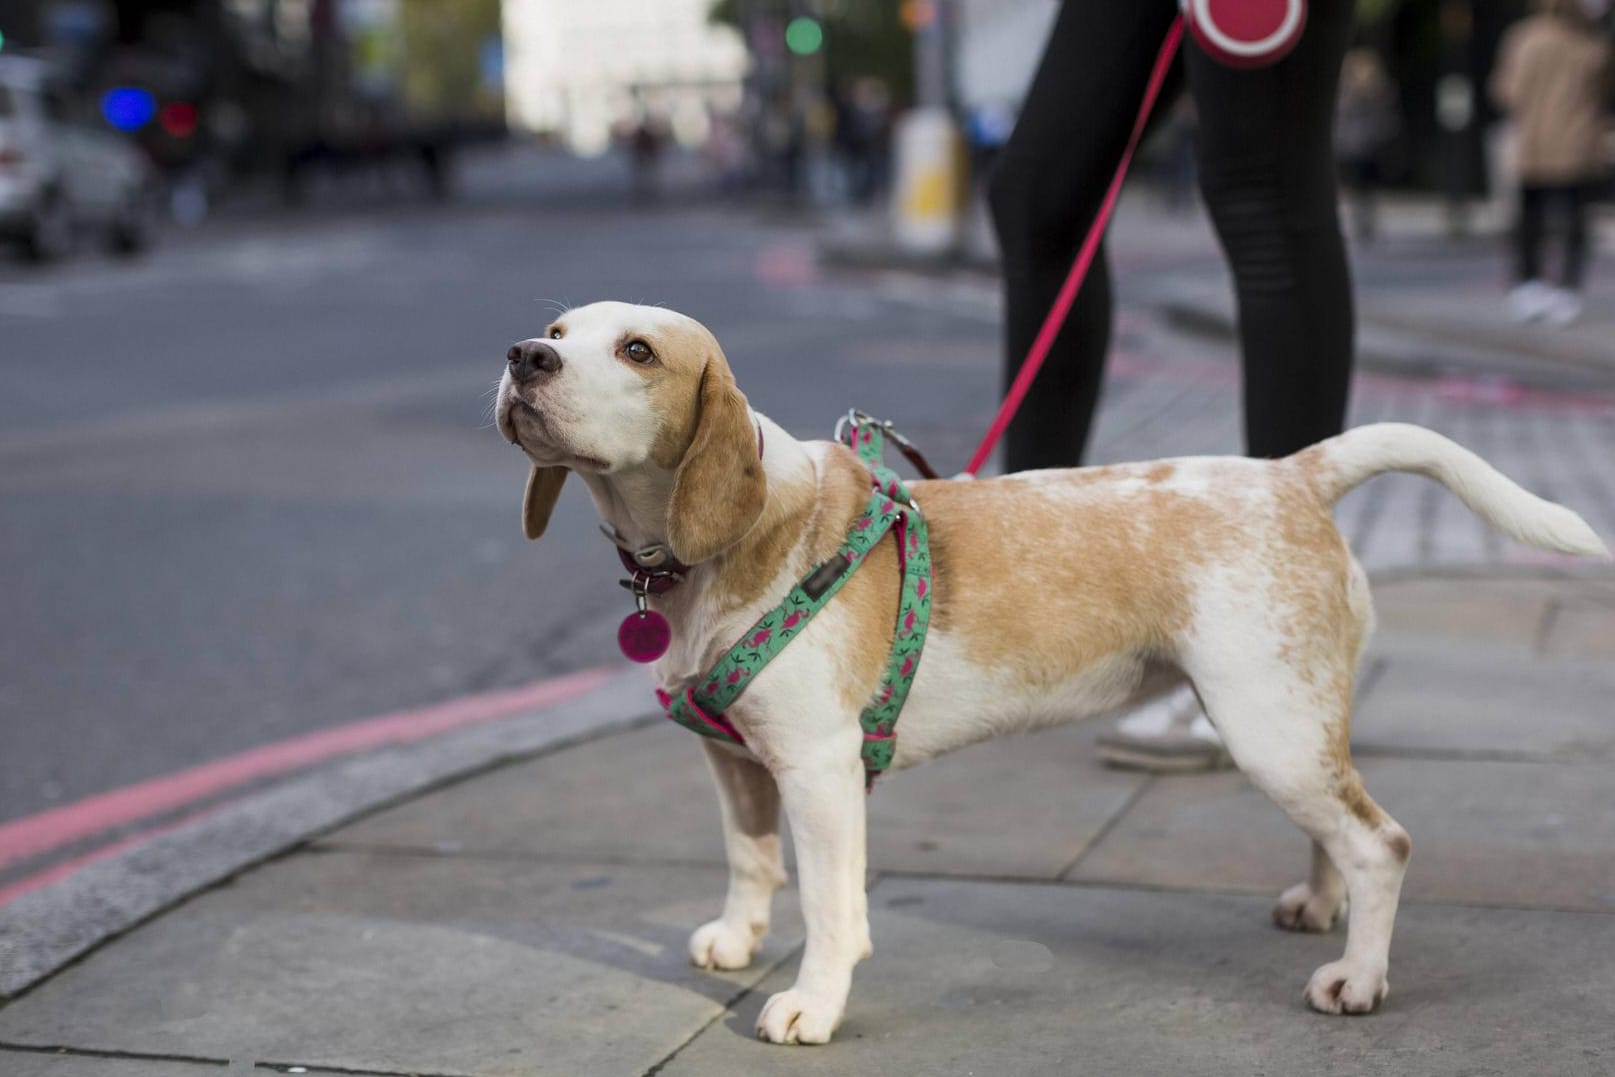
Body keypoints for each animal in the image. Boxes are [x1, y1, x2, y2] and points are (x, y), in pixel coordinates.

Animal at [497, 301, 1608, 1046]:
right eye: (558, 326)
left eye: (637, 351)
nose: (523, 354)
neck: (711, 551)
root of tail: (1294, 472)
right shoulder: (737, 764)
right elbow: (748, 860)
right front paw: (737, 936)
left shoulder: (817, 770)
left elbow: (829, 904)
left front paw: (813, 1001)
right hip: (1293, 728)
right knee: (1340, 828)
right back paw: (1319, 908)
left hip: (1267, 728)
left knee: (1382, 841)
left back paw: (1359, 980)